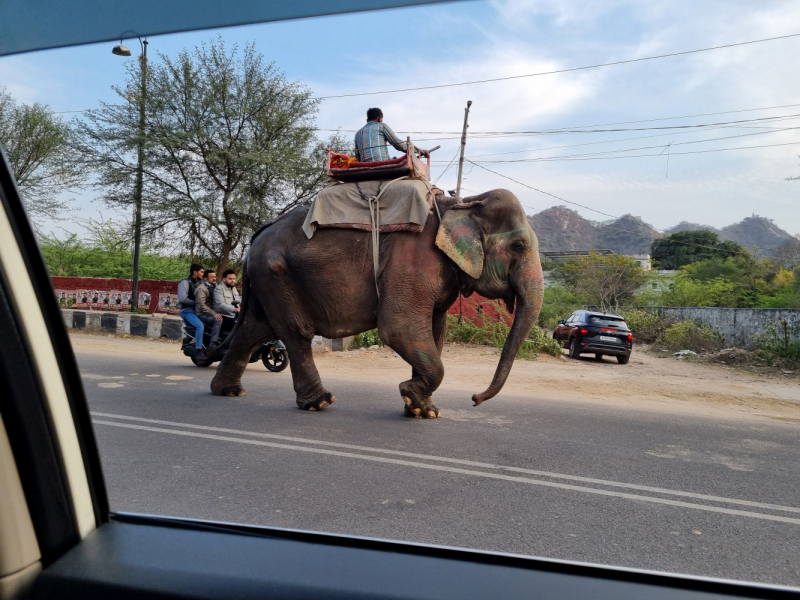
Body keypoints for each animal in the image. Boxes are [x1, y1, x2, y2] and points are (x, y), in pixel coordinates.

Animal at [209, 190, 548, 420]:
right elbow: (398, 327)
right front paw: (411, 395)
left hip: (268, 279)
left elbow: (434, 333)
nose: (475, 398)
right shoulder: (412, 263)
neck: (463, 202)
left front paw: (423, 410)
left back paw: (227, 391)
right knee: (295, 331)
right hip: (276, 274)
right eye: (519, 246)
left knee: (256, 328)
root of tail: (257, 237)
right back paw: (319, 403)